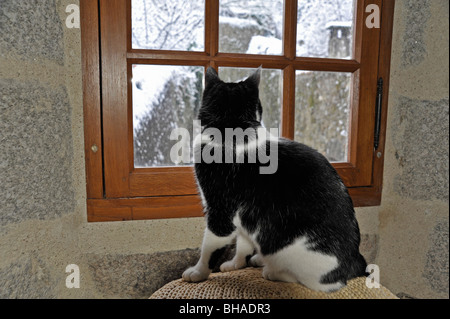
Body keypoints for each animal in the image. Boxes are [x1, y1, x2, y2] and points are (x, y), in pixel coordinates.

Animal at [181, 67, 368, 292]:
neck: (234, 133)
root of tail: (356, 261)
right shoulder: (245, 215)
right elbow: (243, 242)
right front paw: (236, 264)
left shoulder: (221, 211)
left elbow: (210, 249)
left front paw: (198, 272)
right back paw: (258, 260)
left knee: (314, 281)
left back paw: (272, 271)